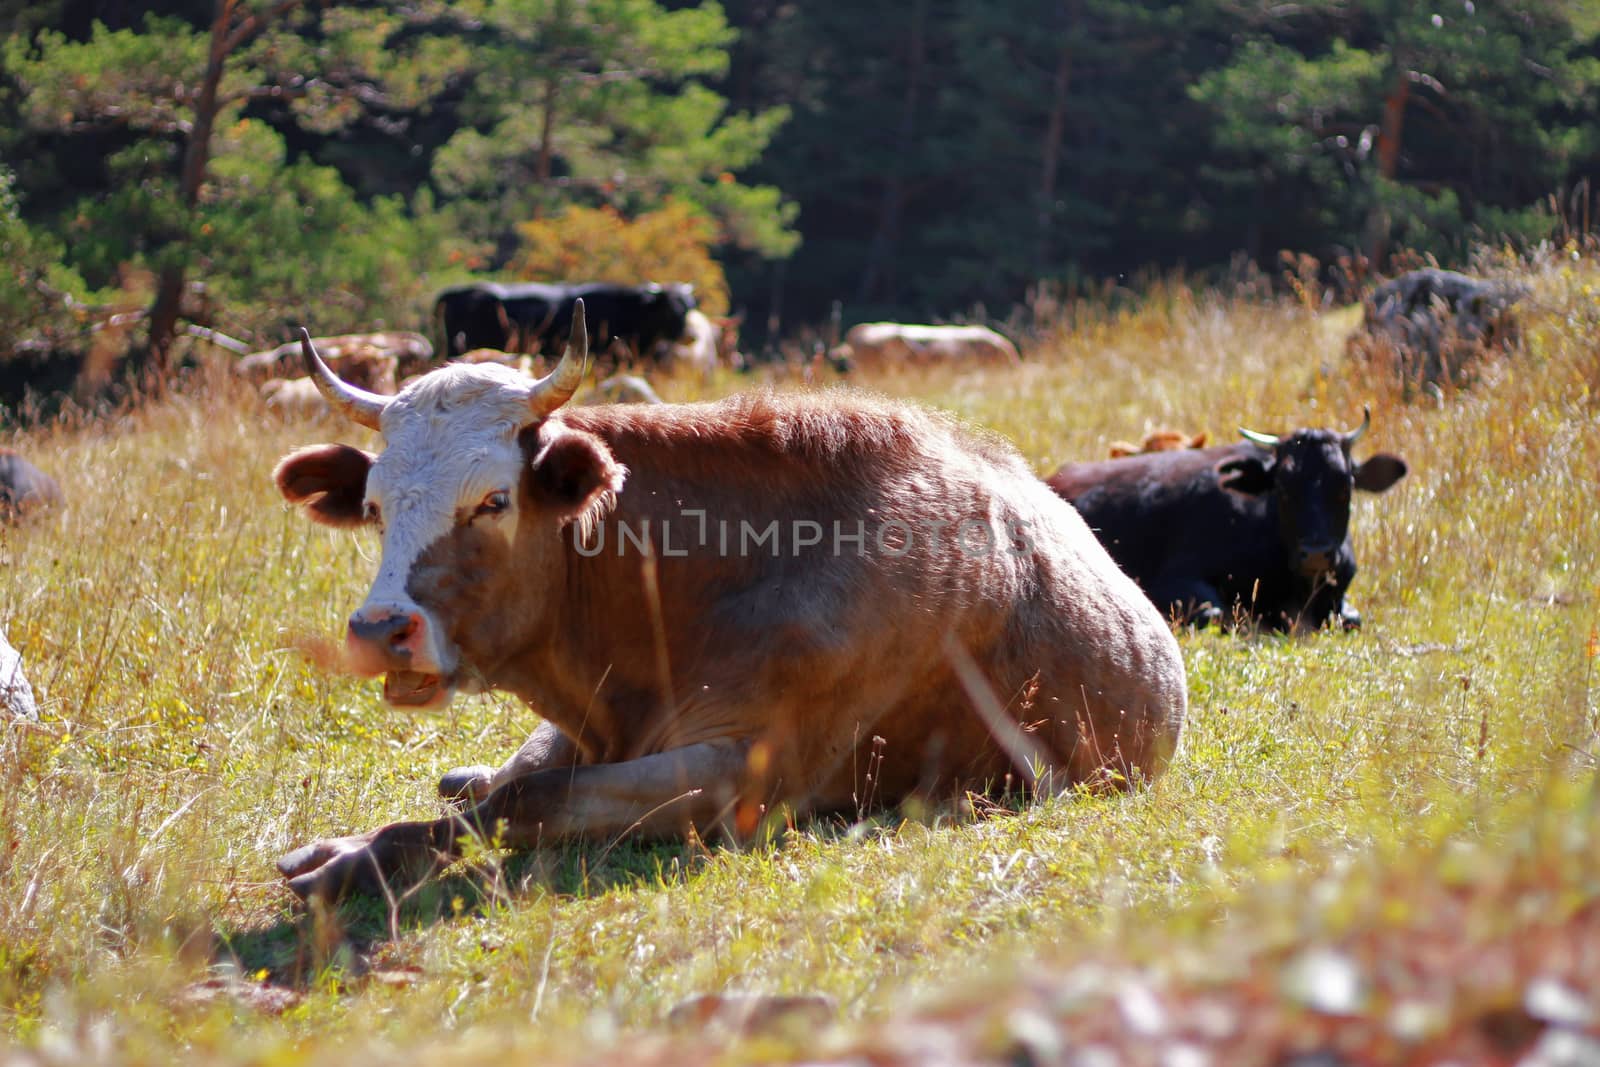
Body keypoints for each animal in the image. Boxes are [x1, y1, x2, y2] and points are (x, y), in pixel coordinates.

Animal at [268, 300, 1184, 902]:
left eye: (493, 500)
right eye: (376, 505)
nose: (379, 629)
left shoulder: (744, 776)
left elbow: (529, 799)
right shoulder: (589, 730)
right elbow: (497, 794)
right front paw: (347, 850)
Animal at [1049, 412, 1414, 633]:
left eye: (1344, 486)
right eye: (1283, 488)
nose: (1316, 554)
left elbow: (1352, 618)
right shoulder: (1175, 579)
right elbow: (1216, 614)